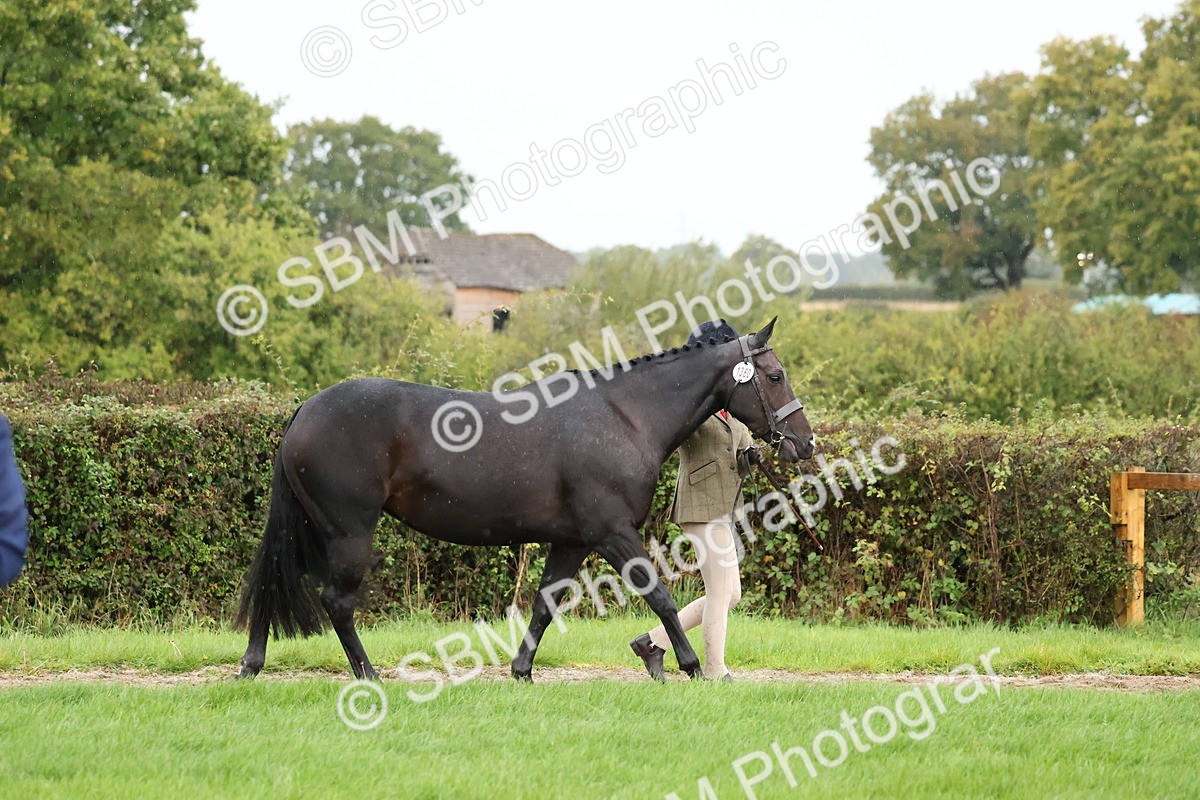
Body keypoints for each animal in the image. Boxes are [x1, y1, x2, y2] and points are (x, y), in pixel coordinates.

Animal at [235, 317, 814, 681]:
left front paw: (521, 671)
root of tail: (307, 409)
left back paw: (252, 664)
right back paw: (369, 675)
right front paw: (690, 666)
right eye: (774, 375)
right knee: (337, 602)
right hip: (348, 531)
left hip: (310, 528)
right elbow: (661, 595)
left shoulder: (572, 541)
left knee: (274, 579)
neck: (624, 416)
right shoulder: (612, 533)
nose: (804, 442)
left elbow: (543, 605)